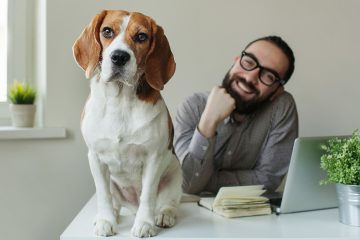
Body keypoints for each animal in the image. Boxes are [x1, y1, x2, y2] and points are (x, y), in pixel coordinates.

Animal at [73, 10, 183, 237]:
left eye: (141, 37)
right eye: (107, 31)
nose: (119, 56)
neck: (120, 100)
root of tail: (132, 206)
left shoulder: (153, 159)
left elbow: (148, 196)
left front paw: (145, 223)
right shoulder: (95, 157)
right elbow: (103, 195)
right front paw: (105, 221)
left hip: (175, 172)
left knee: (168, 203)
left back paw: (164, 214)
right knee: (113, 200)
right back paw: (112, 214)